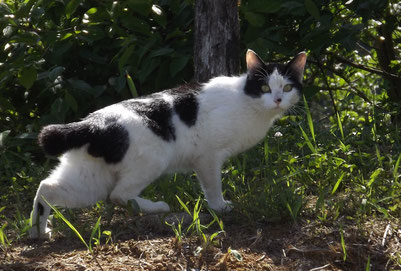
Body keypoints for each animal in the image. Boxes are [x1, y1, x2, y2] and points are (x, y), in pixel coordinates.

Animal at [29, 50, 304, 239]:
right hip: (152, 160)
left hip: (89, 181)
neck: (247, 101)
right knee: (118, 195)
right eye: (265, 87)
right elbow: (213, 187)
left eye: (287, 87)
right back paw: (157, 206)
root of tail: (92, 124)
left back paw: (39, 232)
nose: (278, 99)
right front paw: (220, 208)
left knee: (47, 188)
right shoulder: (207, 158)